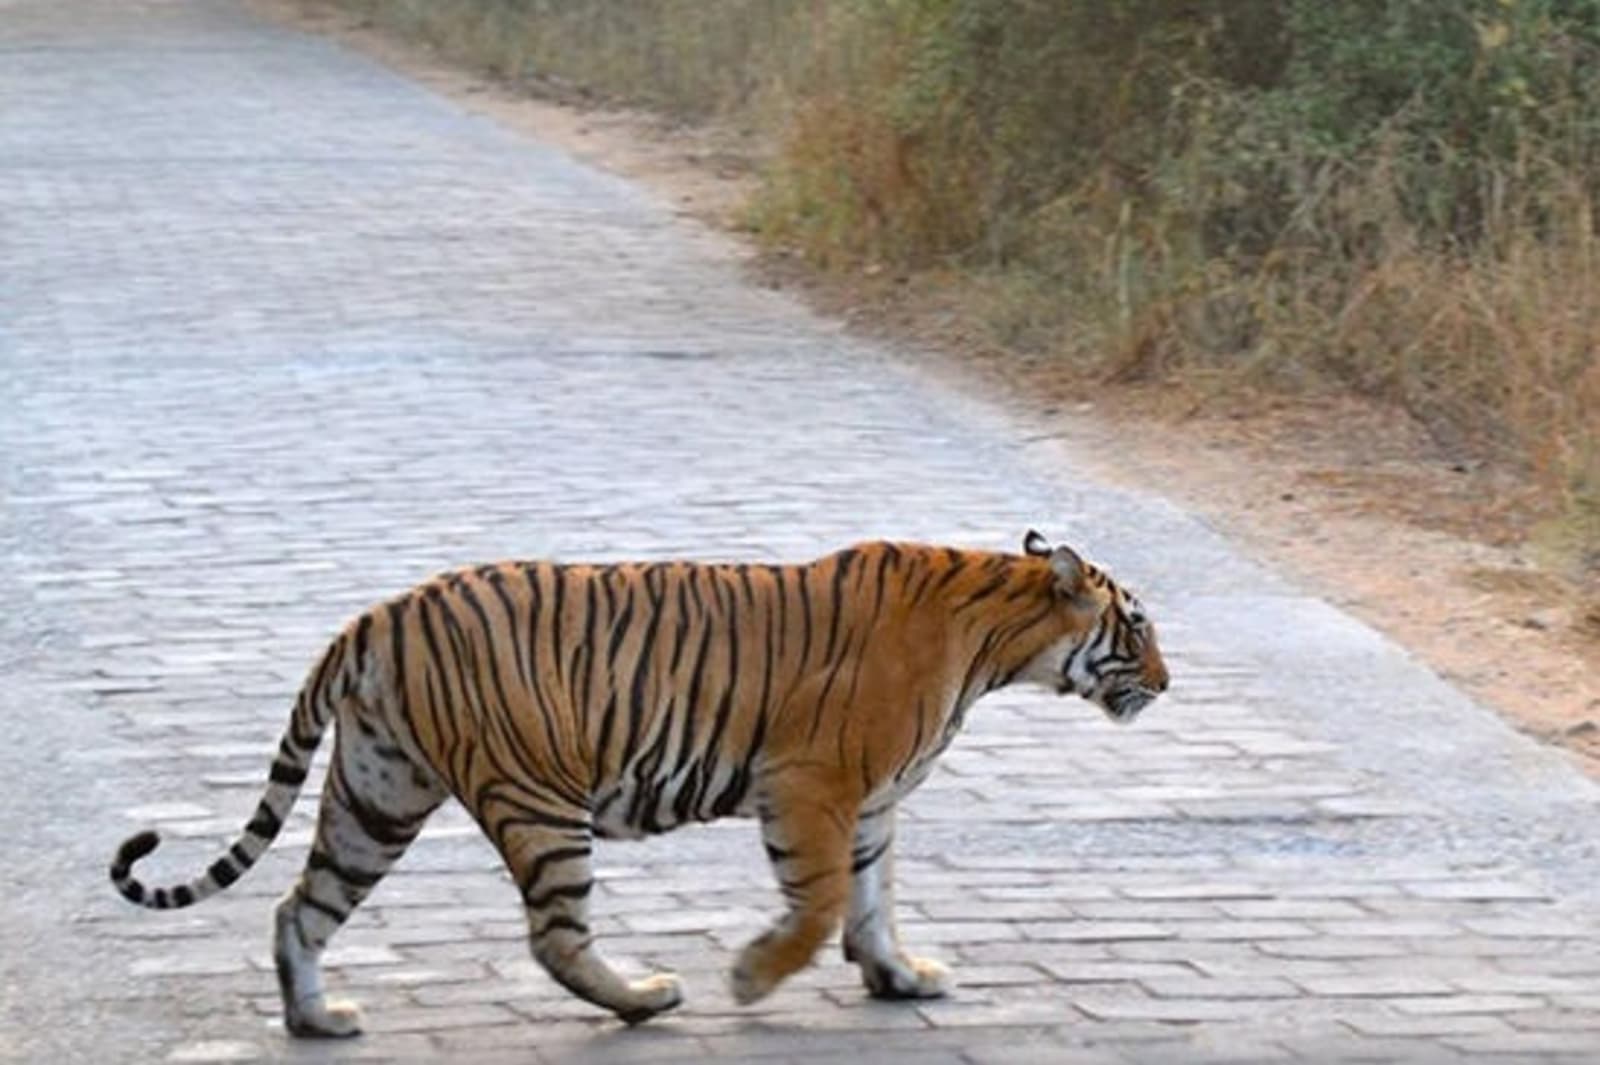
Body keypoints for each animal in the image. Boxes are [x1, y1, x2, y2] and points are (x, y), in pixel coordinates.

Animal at [110, 530, 1167, 1037]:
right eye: (1139, 624)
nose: (1167, 682)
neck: (999, 634)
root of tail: (376, 615)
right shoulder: (811, 784)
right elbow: (824, 901)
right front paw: (752, 977)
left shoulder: (869, 803)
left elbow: (872, 902)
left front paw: (902, 977)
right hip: (540, 798)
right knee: (554, 937)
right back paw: (645, 999)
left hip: (379, 791)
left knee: (301, 903)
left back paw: (317, 1019)